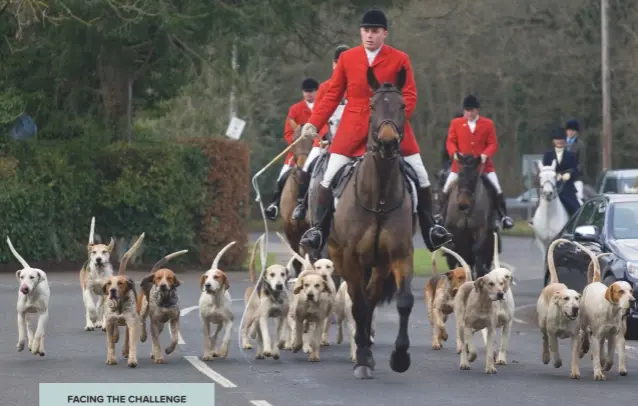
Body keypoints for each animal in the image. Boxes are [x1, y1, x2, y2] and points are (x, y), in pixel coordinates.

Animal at [328, 65, 418, 380]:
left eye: (402, 106)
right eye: (372, 106)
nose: (388, 143)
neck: (378, 196)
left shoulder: (400, 255)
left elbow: (404, 301)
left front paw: (400, 357)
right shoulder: (351, 258)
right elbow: (359, 306)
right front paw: (363, 358)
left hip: (379, 266)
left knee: (372, 297)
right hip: (342, 258)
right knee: (362, 302)